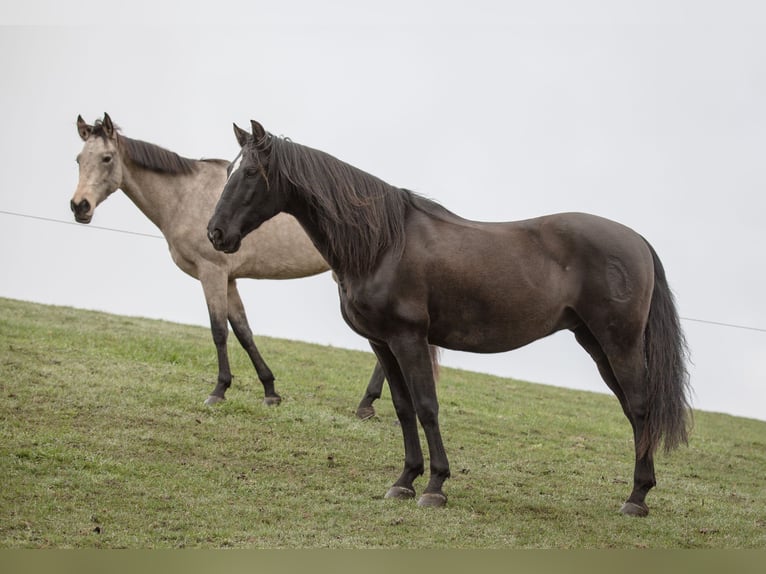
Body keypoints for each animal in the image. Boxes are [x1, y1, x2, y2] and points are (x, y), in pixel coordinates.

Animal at [71, 112, 390, 412]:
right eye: (78, 159)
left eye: (106, 158)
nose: (79, 206)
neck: (184, 195)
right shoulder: (230, 279)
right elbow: (243, 331)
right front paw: (270, 391)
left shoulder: (211, 272)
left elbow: (219, 330)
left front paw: (219, 390)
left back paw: (367, 402)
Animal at [207, 121, 692, 516]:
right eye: (229, 171)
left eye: (249, 174)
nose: (215, 233)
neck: (384, 243)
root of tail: (636, 240)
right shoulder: (381, 342)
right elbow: (403, 409)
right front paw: (405, 480)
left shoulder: (409, 338)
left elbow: (426, 406)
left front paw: (435, 486)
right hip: (593, 342)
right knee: (633, 411)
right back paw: (640, 491)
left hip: (619, 342)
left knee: (641, 407)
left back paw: (636, 498)